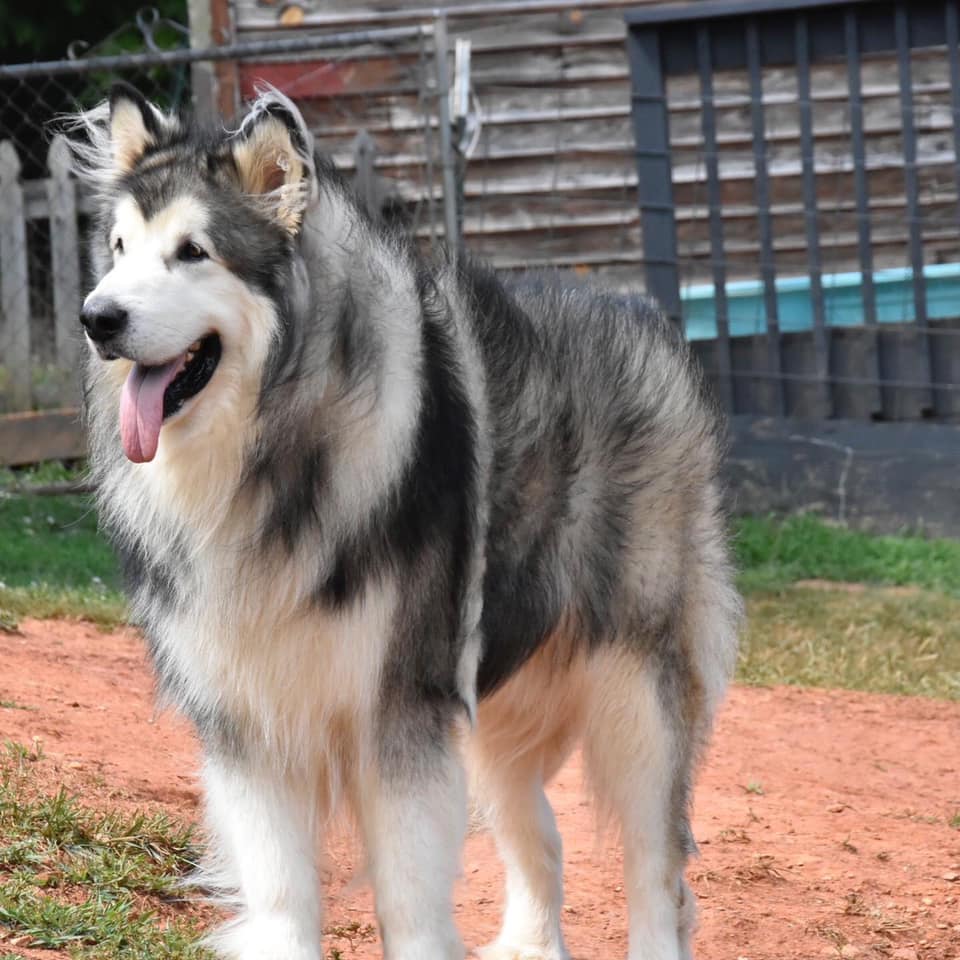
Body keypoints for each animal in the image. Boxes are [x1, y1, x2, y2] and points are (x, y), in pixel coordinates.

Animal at [71, 84, 744, 960]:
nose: (97, 317)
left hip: (638, 692)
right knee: (542, 837)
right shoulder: (248, 724)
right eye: (119, 249)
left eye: (193, 252)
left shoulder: (398, 714)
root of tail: (644, 320)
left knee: (656, 870)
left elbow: (412, 901)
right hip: (498, 707)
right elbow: (283, 895)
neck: (270, 459)